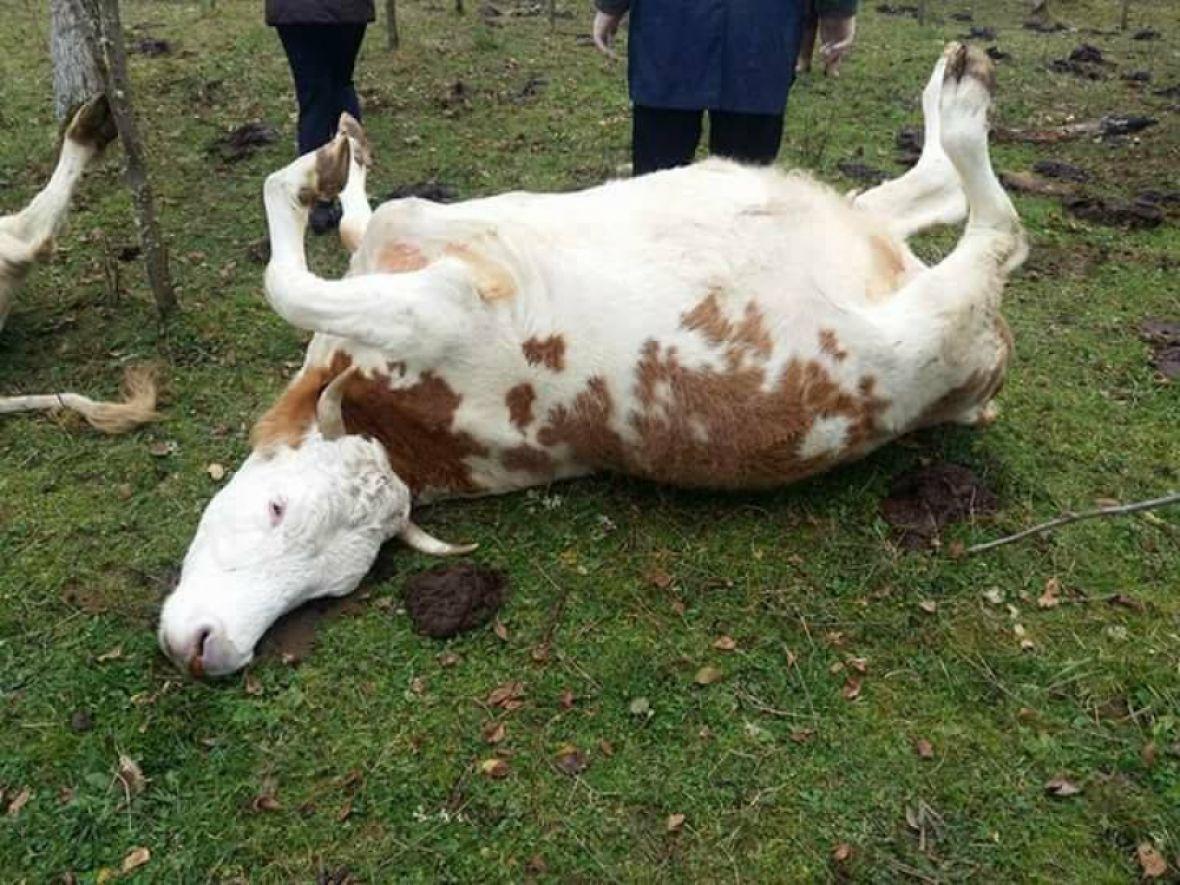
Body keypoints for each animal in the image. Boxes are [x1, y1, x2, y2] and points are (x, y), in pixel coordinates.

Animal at [156, 43, 1024, 679]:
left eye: (277, 509)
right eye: (340, 584)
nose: (208, 650)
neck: (411, 429)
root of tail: (981, 380)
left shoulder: (439, 293)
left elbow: (292, 266)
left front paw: (325, 165)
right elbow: (324, 242)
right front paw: (338, 157)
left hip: (932, 318)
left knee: (1001, 227)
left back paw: (962, 96)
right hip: (884, 249)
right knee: (938, 195)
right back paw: (952, 96)